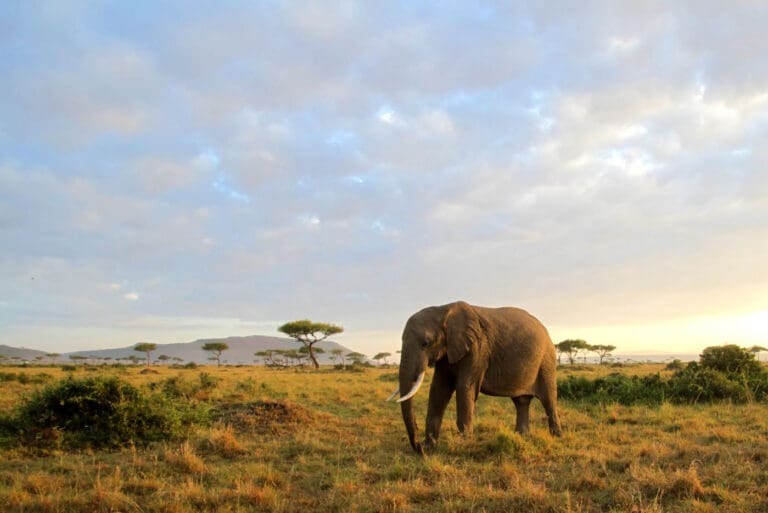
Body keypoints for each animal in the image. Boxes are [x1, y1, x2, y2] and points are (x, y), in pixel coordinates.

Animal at [386, 301, 562, 454]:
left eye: (426, 343)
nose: (418, 448)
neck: (443, 309)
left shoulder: (477, 348)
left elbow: (465, 387)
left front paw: (463, 446)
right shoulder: (448, 350)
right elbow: (439, 389)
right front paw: (430, 447)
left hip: (547, 361)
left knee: (548, 400)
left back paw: (556, 436)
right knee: (521, 402)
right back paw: (521, 436)